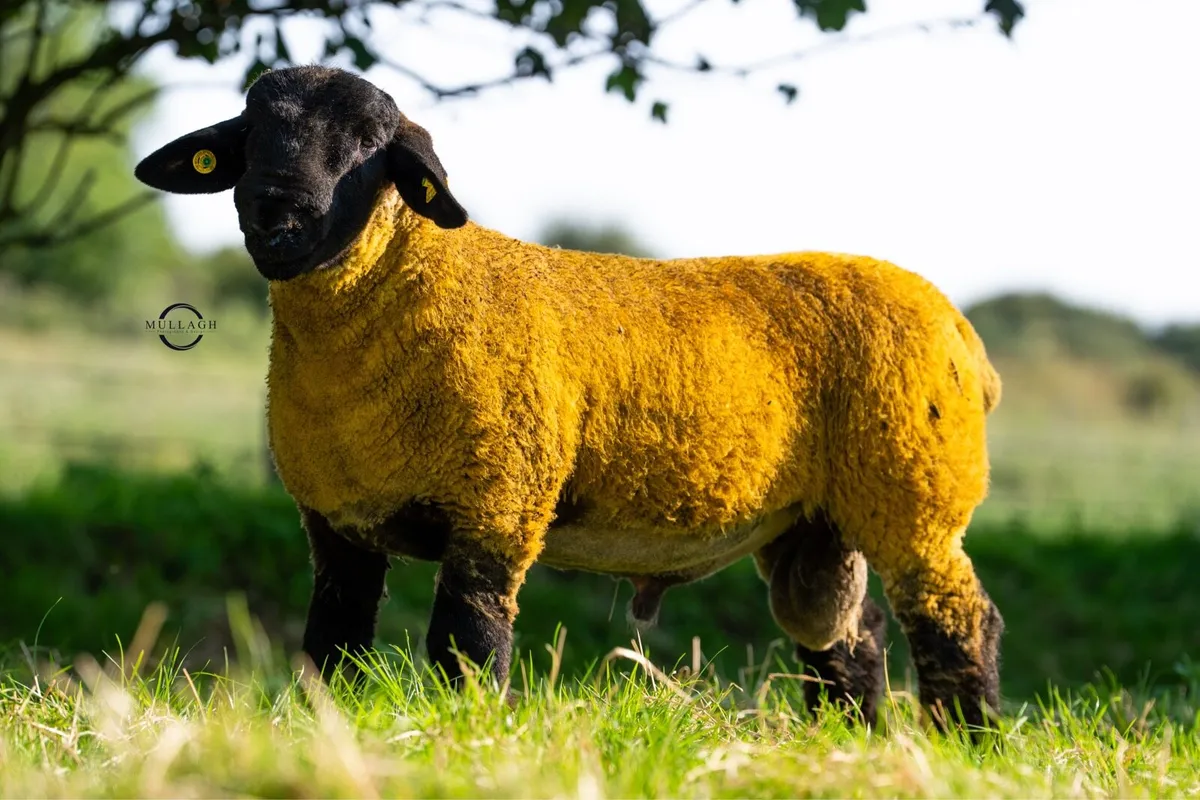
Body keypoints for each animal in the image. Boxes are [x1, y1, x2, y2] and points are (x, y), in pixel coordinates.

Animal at [134, 65, 1005, 730]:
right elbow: (332, 651)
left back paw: (972, 744)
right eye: (250, 134)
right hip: (819, 523)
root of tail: (962, 332)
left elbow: (466, 647)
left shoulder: (498, 506)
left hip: (918, 495)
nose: (277, 215)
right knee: (849, 641)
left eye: (369, 147)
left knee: (959, 624)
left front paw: (467, 736)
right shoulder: (337, 525)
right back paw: (849, 744)